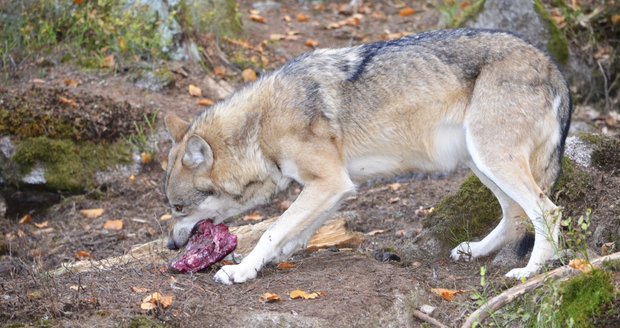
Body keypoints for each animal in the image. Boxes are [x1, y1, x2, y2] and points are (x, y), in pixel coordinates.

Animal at [163, 28, 572, 284]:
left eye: (179, 208)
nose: (170, 245)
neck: (260, 127)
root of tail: (552, 65)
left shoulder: (328, 182)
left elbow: (271, 231)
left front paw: (240, 271)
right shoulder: (333, 187)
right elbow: (292, 233)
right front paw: (268, 260)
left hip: (492, 159)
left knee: (546, 210)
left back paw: (530, 272)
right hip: (480, 161)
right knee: (514, 214)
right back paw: (475, 251)